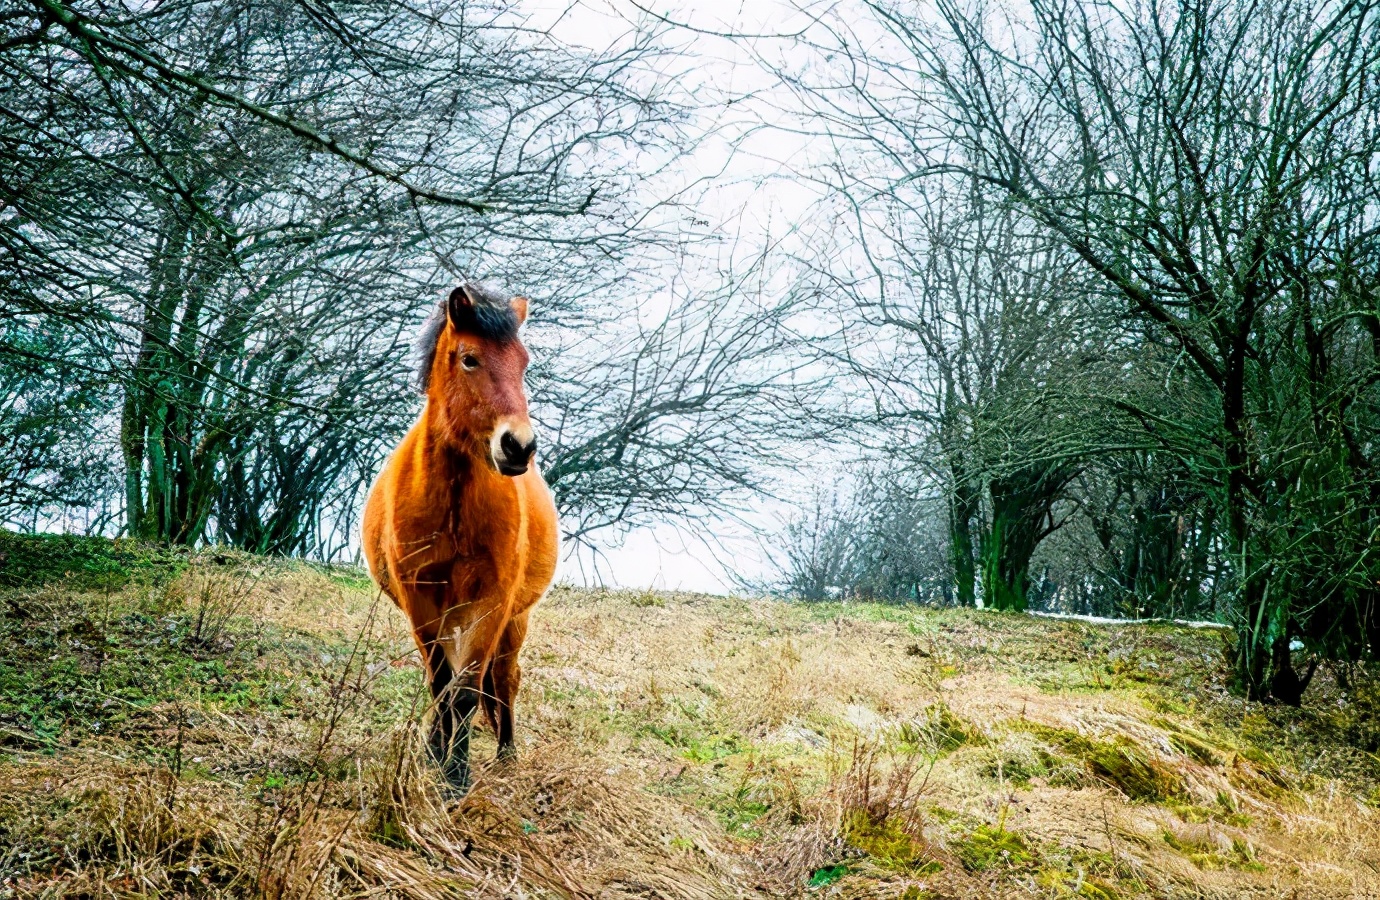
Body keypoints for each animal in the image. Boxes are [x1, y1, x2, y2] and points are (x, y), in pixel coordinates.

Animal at [367, 284, 565, 789]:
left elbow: (468, 692)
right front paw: (436, 757)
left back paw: (506, 754)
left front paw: (456, 775)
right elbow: (441, 685)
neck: (453, 505)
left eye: (523, 362)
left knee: (505, 680)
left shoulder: (492, 603)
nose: (519, 446)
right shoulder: (420, 600)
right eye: (470, 359)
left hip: (513, 623)